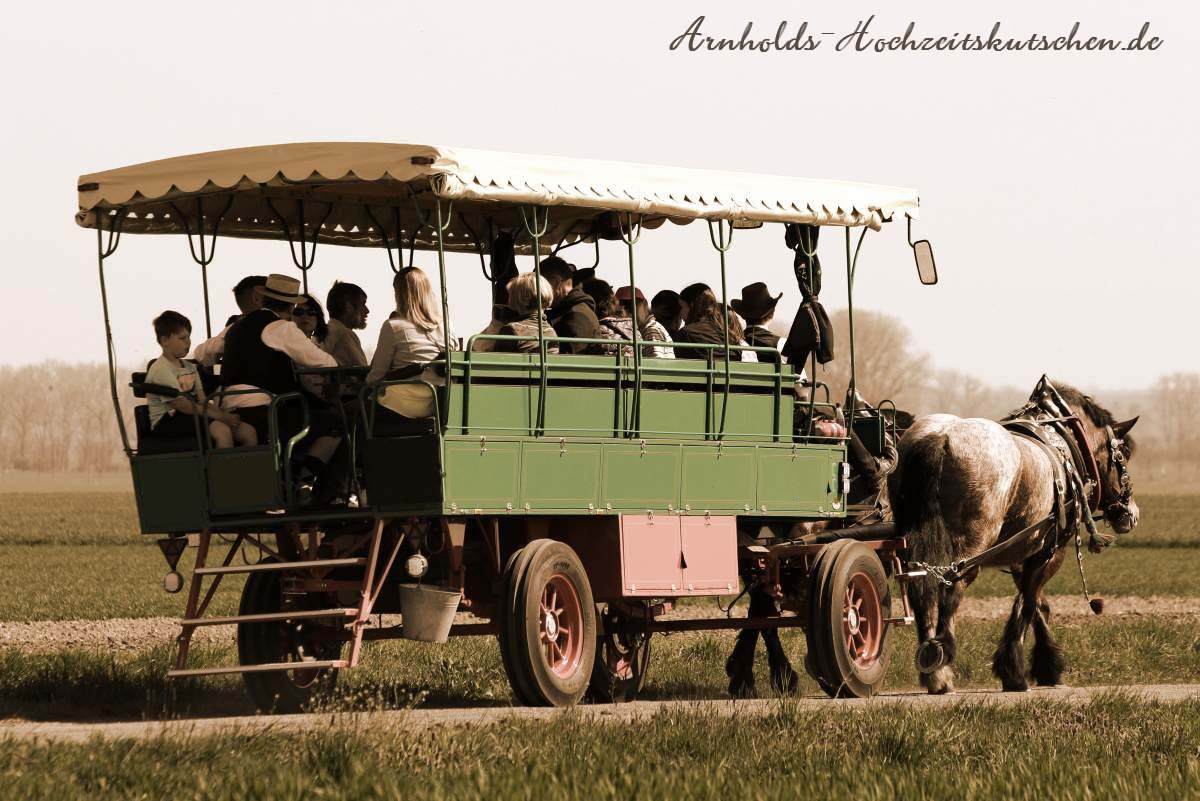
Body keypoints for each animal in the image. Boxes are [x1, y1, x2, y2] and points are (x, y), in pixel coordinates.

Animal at [892, 378, 1142, 690]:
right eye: (1124, 455)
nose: (1132, 513)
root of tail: (940, 437)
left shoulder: (1021, 552)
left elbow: (1037, 605)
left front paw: (1044, 664)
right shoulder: (1050, 552)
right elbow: (1028, 602)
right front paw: (1019, 671)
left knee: (919, 585)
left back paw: (930, 666)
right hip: (972, 545)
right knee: (952, 586)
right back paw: (940, 663)